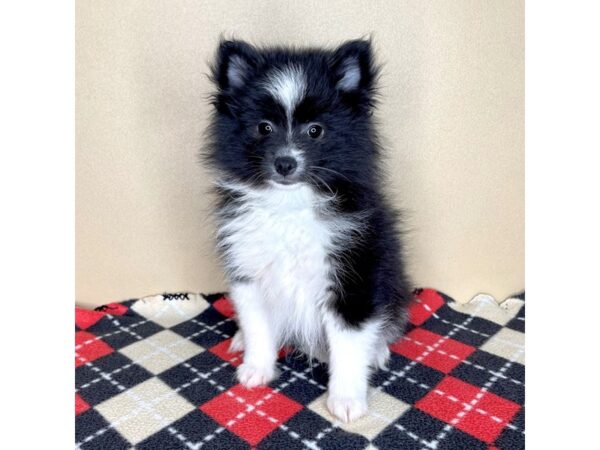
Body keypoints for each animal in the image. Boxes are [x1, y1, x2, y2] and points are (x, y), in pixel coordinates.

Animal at [205, 38, 412, 422]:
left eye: (315, 130)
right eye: (264, 127)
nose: (285, 162)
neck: (290, 205)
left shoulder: (354, 275)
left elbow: (349, 341)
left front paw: (346, 398)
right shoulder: (249, 269)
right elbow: (258, 324)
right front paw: (257, 368)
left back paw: (377, 349)